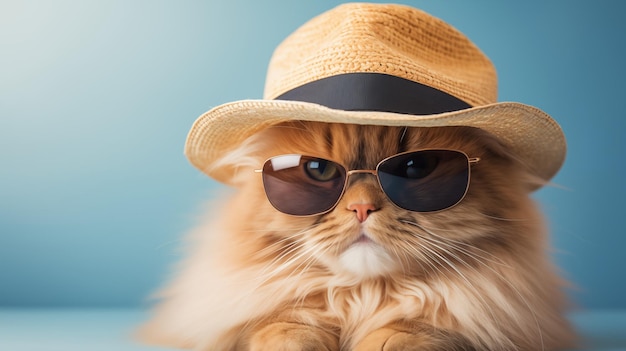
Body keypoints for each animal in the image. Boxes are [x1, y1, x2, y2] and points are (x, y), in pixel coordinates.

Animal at [138, 121, 576, 351]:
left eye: (415, 168)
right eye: (317, 170)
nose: (362, 208)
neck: (362, 298)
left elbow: (410, 331)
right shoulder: (276, 315)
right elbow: (287, 328)